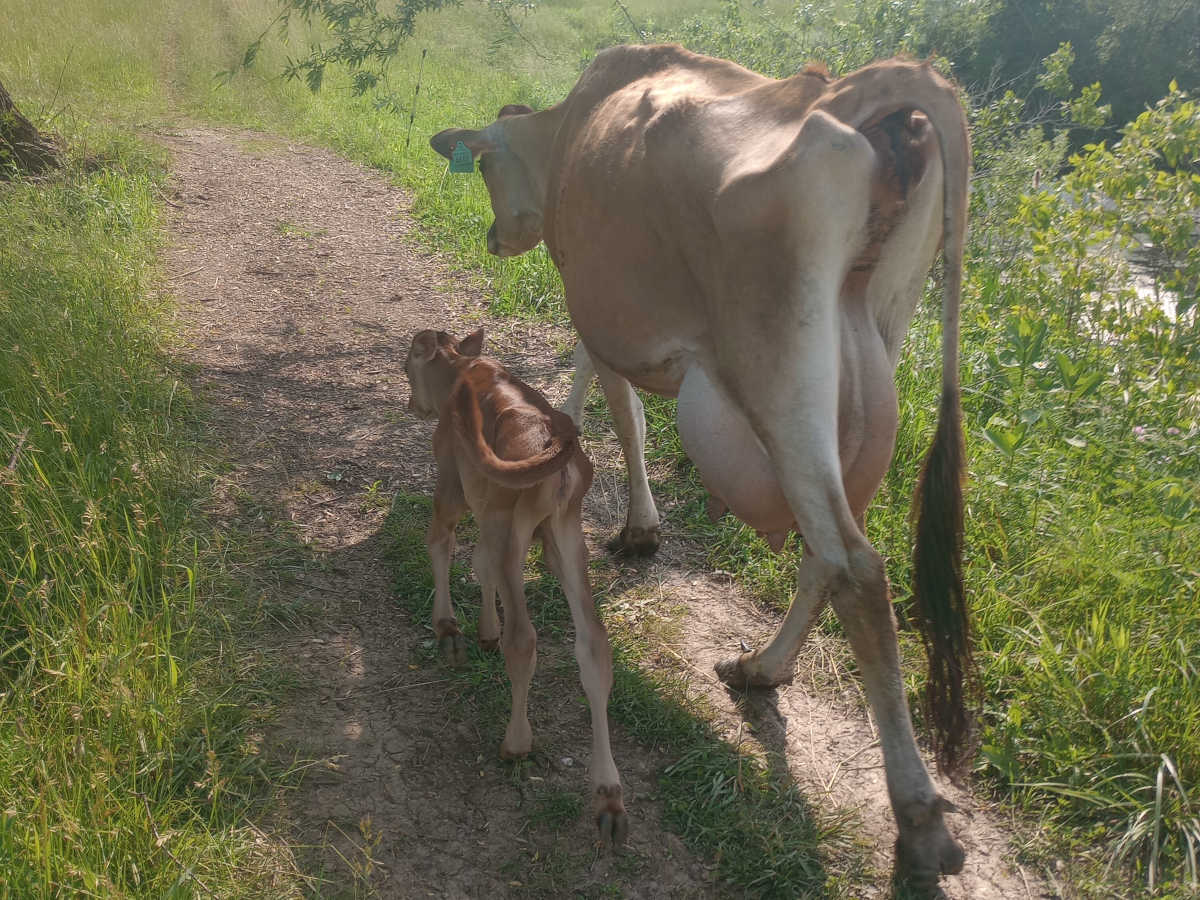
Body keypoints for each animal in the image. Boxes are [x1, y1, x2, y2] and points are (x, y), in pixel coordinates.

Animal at [404, 328, 627, 845]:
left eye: (406, 366)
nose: (410, 404)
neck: (461, 373)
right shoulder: (492, 517)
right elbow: (479, 566)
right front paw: (482, 630)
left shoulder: (454, 482)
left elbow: (442, 542)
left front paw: (448, 628)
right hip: (565, 534)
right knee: (594, 644)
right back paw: (608, 793)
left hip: (513, 525)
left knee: (523, 639)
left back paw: (516, 742)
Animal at [431, 44, 972, 893]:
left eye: (484, 168)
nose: (491, 236)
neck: (569, 128)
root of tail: (857, 89)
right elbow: (590, 381)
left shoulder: (596, 300)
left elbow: (624, 411)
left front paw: (637, 525)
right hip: (876, 335)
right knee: (830, 551)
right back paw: (762, 668)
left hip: (777, 366)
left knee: (855, 564)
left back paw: (918, 823)